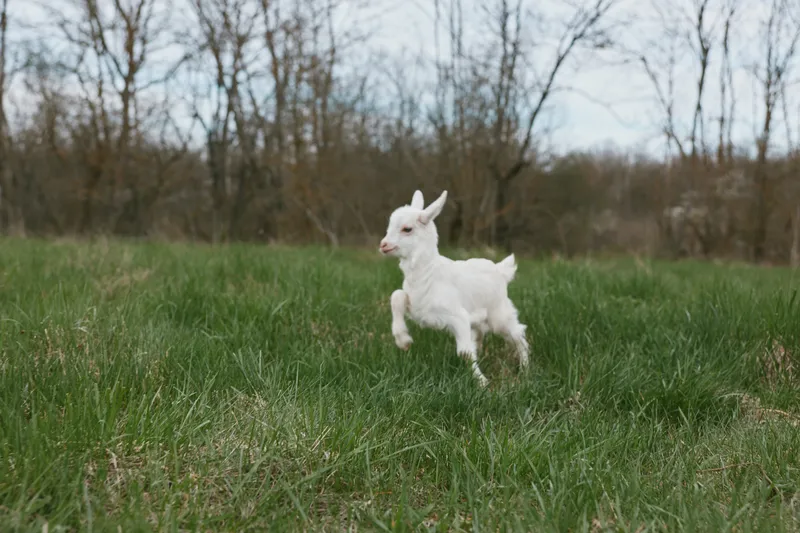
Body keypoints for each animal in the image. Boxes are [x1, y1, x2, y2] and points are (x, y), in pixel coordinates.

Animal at [379, 189, 529, 387]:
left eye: (407, 229)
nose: (383, 245)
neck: (429, 273)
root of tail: (501, 270)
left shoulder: (458, 316)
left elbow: (464, 352)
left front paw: (482, 383)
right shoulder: (418, 310)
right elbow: (396, 296)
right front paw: (403, 340)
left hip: (499, 314)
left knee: (518, 333)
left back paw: (526, 370)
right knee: (479, 335)